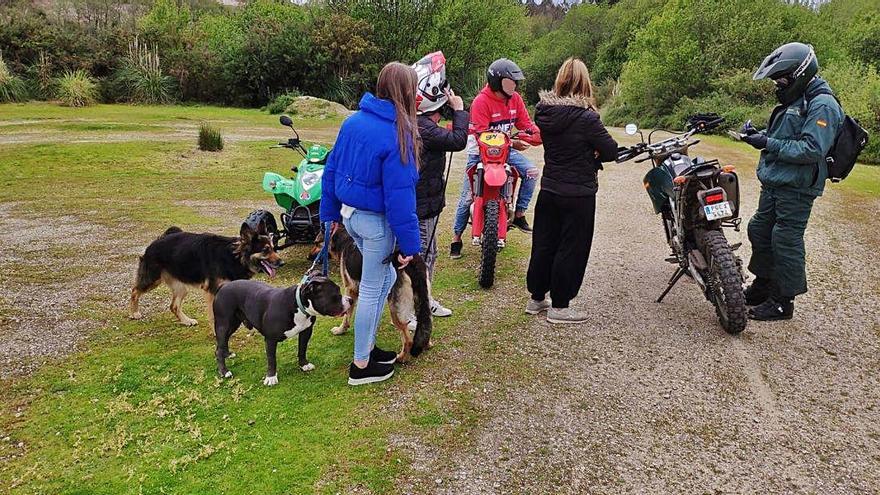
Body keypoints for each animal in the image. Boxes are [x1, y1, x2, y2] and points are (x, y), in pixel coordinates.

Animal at [129, 224, 282, 326]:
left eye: (273, 248)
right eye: (266, 250)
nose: (282, 263)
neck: (234, 256)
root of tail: (160, 238)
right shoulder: (213, 291)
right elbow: (215, 316)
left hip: (181, 287)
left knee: (174, 306)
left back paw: (186, 321)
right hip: (152, 279)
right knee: (134, 291)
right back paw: (134, 313)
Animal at [213, 276, 350, 388]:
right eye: (336, 294)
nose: (350, 299)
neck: (298, 306)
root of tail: (223, 286)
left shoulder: (306, 331)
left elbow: (302, 349)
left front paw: (303, 364)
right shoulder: (270, 339)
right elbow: (271, 359)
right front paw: (271, 377)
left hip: (232, 324)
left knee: (222, 343)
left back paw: (227, 354)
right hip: (223, 324)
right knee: (219, 348)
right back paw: (224, 371)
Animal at [326, 224, 434, 360]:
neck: (344, 237)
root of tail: (411, 262)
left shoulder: (350, 290)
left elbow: (346, 315)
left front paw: (341, 330)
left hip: (395, 310)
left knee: (407, 338)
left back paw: (401, 358)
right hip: (421, 299)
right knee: (426, 322)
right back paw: (427, 344)